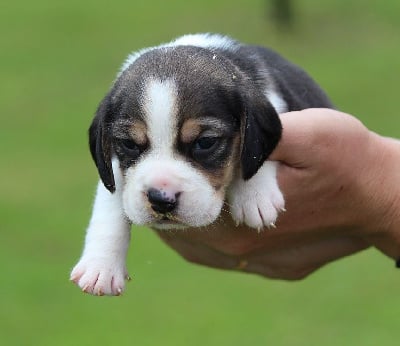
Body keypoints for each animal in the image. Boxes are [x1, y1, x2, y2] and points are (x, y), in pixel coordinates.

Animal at [70, 33, 332, 296]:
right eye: (129, 144)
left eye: (205, 142)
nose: (161, 199)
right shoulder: (113, 166)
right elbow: (110, 200)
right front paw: (100, 265)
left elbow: (255, 156)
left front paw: (254, 196)